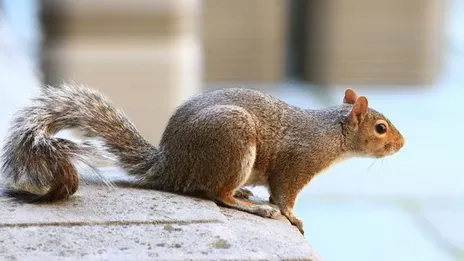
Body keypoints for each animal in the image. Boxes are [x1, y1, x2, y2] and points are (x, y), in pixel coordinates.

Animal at [0, 84, 404, 235]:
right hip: (234, 143)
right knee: (216, 193)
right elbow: (284, 195)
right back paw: (251, 205)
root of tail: (169, 165)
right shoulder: (296, 164)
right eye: (381, 128)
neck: (331, 133)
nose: (402, 143)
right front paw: (292, 217)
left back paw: (245, 195)